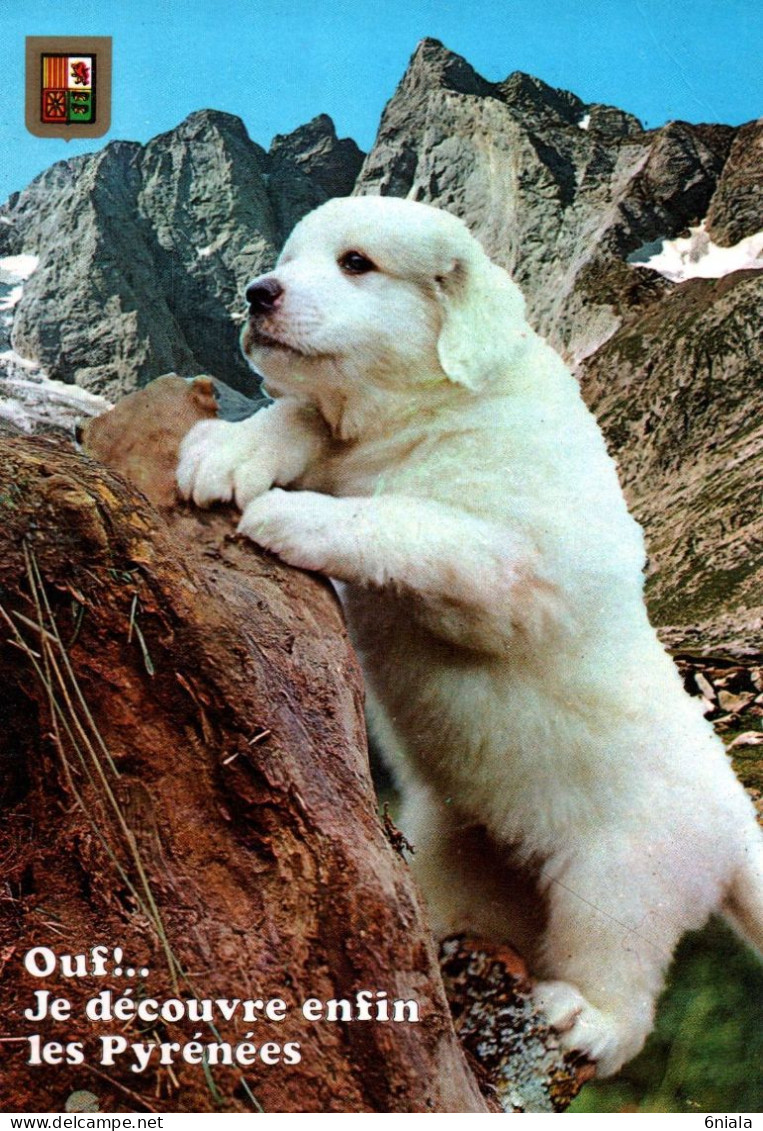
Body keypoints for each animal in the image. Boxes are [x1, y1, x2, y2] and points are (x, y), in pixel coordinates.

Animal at [177, 196, 763, 1076]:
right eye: (289, 258)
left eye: (356, 263)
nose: (257, 294)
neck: (430, 409)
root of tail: (735, 823)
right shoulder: (345, 439)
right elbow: (303, 414)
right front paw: (230, 450)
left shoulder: (514, 573)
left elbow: (407, 517)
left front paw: (294, 516)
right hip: (465, 851)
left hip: (623, 877)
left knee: (625, 989)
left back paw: (583, 1017)